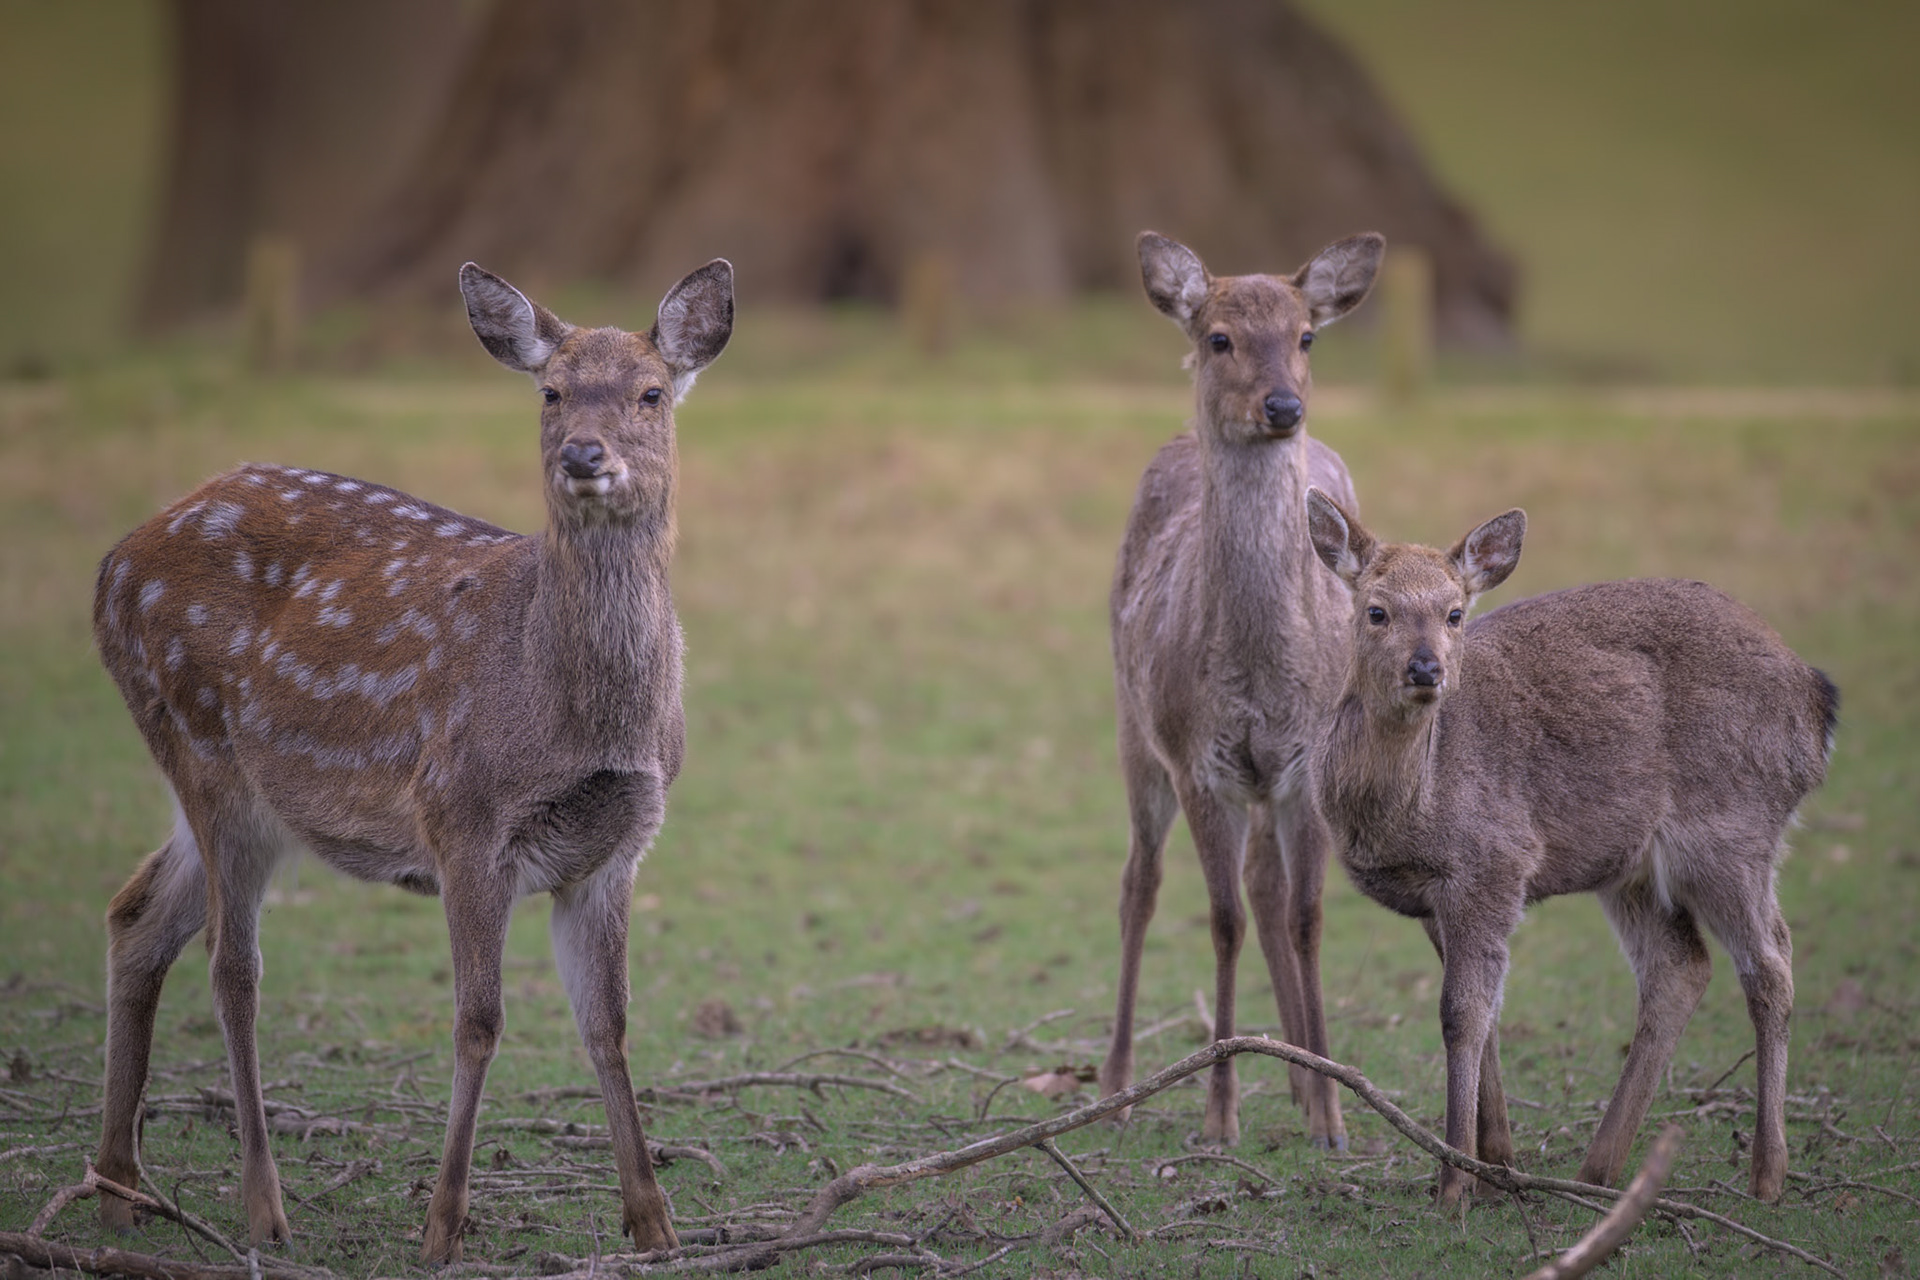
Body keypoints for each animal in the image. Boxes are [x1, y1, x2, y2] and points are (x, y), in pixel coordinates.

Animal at [90, 258, 733, 1263]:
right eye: (550, 393)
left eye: (652, 392)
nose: (583, 455)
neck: (573, 717)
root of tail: (111, 566)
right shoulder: (461, 817)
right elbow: (479, 1022)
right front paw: (441, 1224)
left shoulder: (617, 845)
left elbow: (610, 1025)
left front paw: (654, 1222)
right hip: (202, 746)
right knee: (232, 967)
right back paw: (264, 1208)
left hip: (244, 794)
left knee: (137, 914)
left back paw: (120, 1188)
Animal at [1099, 229, 1384, 1151]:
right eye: (1219, 336)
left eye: (1308, 336)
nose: (1283, 407)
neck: (1262, 671)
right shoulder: (1200, 760)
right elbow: (1219, 920)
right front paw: (1219, 1110)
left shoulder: (1302, 768)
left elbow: (1306, 917)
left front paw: (1333, 1110)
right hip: (1132, 723)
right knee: (1141, 882)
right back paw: (1115, 1083)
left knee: (1267, 883)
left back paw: (1296, 1078)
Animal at [1303, 488, 1837, 1206]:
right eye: (1375, 609)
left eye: (1454, 612)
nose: (1426, 668)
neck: (1414, 806)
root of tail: (1815, 703)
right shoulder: (1440, 896)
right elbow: (1483, 1016)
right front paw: (1497, 1165)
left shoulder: (1494, 861)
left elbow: (1460, 1014)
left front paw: (1454, 1183)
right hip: (1631, 868)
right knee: (1679, 968)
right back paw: (1596, 1172)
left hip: (1732, 828)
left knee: (1771, 963)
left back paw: (1767, 1175)